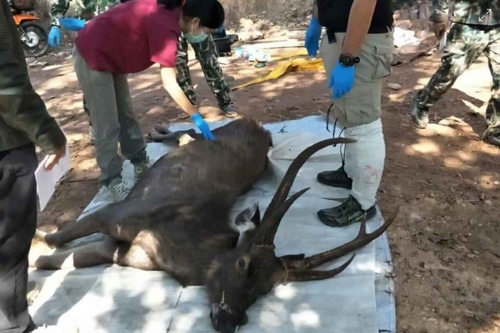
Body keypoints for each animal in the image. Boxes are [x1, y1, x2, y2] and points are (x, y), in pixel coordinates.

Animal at [32, 117, 398, 332]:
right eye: (243, 263)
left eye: (266, 289)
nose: (229, 321)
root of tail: (259, 127)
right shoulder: (117, 213)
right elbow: (58, 240)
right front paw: (37, 236)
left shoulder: (122, 251)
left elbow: (61, 260)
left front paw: (38, 262)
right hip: (214, 132)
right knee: (191, 130)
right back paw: (159, 130)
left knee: (187, 135)